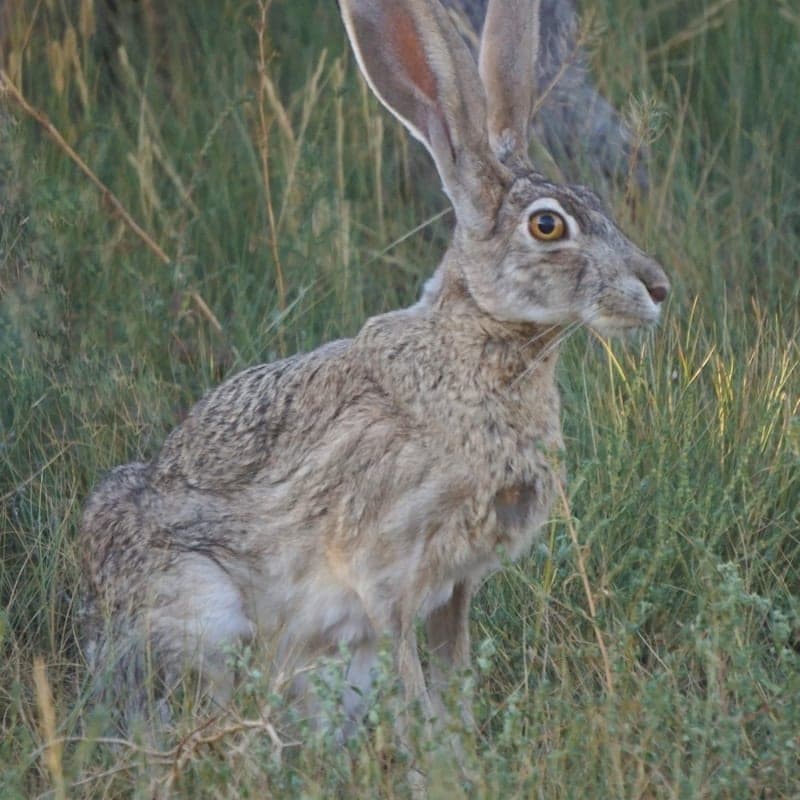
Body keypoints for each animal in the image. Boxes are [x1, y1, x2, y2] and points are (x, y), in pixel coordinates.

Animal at [79, 0, 669, 733]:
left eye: (595, 199)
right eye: (548, 226)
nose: (657, 288)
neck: (478, 345)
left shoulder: (458, 582)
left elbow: (453, 663)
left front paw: (461, 737)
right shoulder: (384, 570)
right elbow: (409, 667)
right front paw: (433, 743)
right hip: (204, 609)